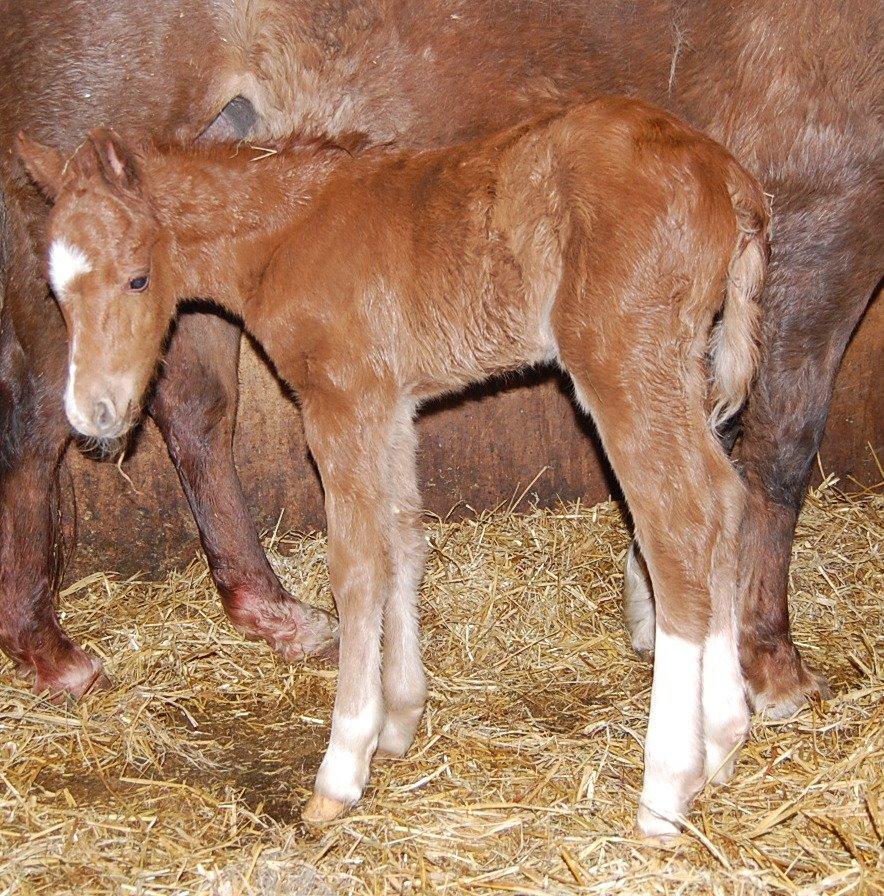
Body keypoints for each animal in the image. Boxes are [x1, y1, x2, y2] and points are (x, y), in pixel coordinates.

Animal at [17, 96, 770, 835]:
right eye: (56, 290)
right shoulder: (391, 404)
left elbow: (356, 567)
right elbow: (403, 538)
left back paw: (667, 784)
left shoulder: (339, 401)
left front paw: (343, 763)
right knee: (725, 500)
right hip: (679, 366)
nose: (93, 413)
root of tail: (728, 174)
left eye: (138, 277)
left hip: (624, 365)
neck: (289, 235)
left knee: (678, 523)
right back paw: (724, 738)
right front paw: (401, 717)